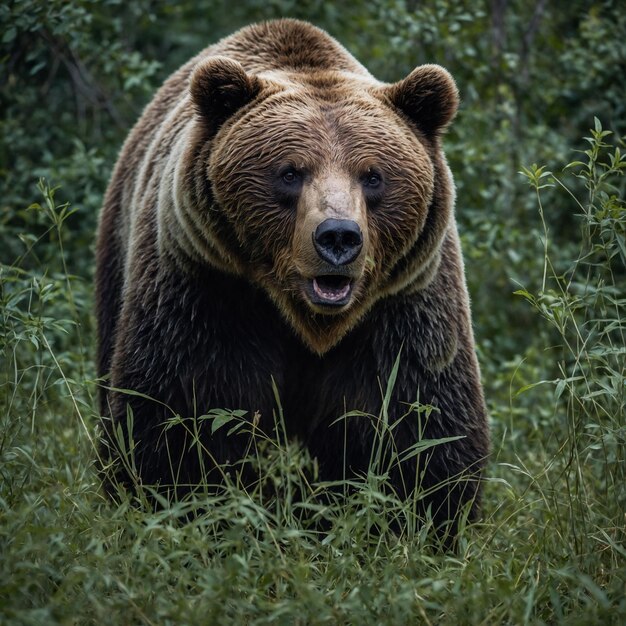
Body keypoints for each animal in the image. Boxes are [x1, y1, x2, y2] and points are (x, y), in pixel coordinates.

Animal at [96, 18, 488, 532]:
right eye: (289, 172)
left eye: (373, 176)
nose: (338, 237)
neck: (310, 323)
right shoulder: (208, 292)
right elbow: (176, 417)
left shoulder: (401, 309)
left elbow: (422, 428)